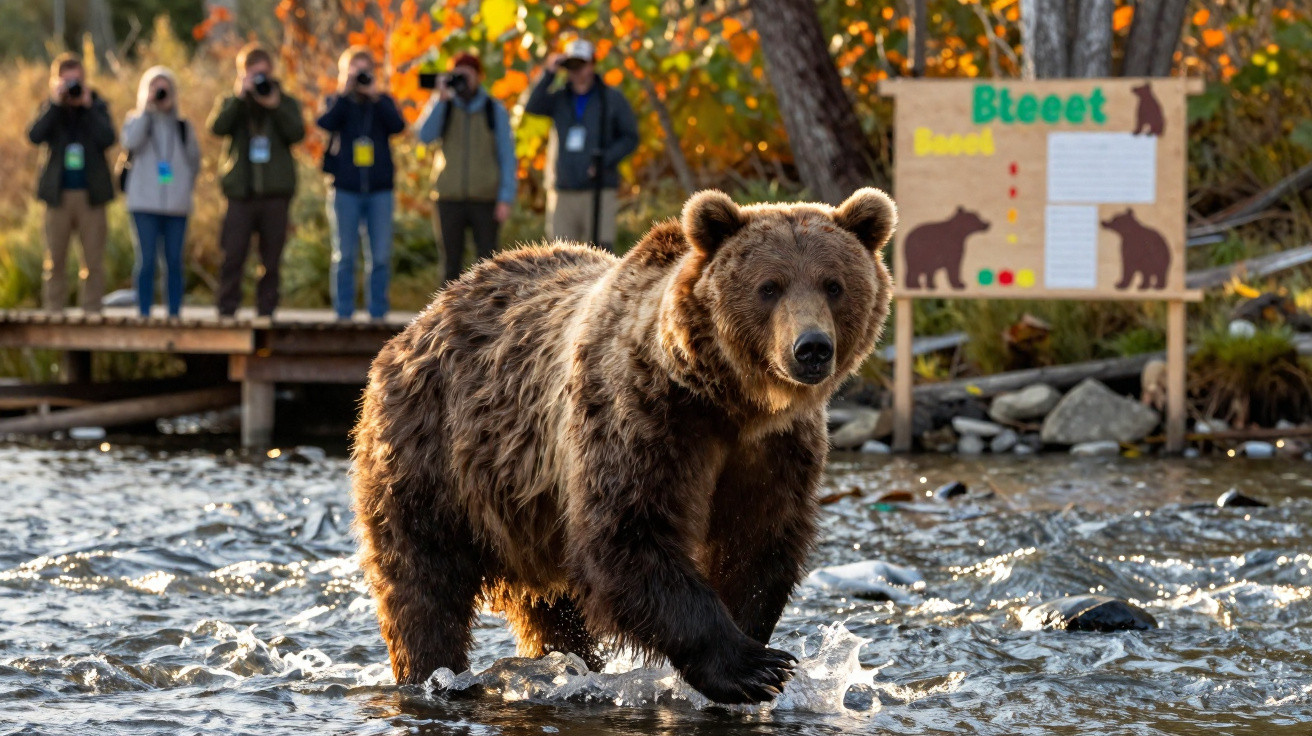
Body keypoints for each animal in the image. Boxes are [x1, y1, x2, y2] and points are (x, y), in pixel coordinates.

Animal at [349, 188, 897, 705]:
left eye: (833, 284)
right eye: (769, 286)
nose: (811, 347)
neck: (732, 404)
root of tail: (422, 318)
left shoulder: (775, 452)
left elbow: (758, 543)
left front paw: (754, 643)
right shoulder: (643, 419)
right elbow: (629, 533)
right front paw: (752, 667)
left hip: (529, 512)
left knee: (548, 610)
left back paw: (564, 664)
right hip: (432, 455)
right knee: (422, 583)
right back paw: (433, 673)